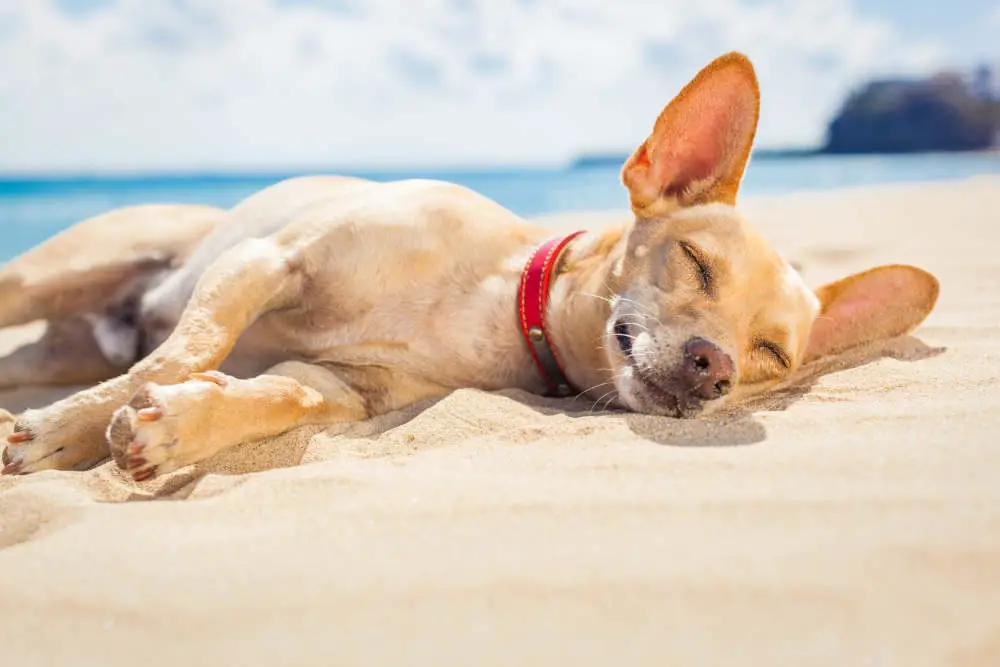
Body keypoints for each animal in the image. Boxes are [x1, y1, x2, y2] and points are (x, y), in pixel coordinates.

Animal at [0, 52, 936, 480]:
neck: (494, 299)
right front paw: (64, 428)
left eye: (772, 354)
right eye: (697, 262)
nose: (716, 367)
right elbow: (185, 351)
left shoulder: (345, 387)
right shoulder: (269, 260)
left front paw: (175, 426)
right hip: (52, 277)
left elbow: (276, 396)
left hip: (59, 341)